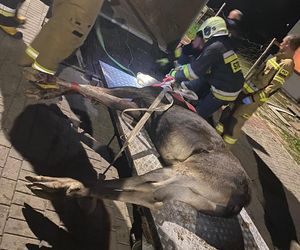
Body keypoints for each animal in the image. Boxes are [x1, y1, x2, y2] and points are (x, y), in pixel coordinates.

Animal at [26, 83, 251, 217]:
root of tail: (241, 198)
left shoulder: (132, 95)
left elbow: (89, 88)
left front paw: (50, 88)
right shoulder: (136, 108)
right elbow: (94, 89)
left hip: (183, 172)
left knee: (117, 184)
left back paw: (61, 185)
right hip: (187, 192)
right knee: (150, 198)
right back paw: (66, 188)